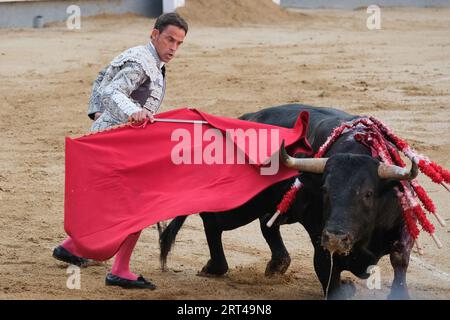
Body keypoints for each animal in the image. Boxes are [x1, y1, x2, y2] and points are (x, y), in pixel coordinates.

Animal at [160, 105, 416, 300]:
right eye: (325, 190)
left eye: (368, 194)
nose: (335, 238)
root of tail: (243, 119)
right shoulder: (319, 240)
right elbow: (327, 272)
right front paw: (344, 287)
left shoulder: (403, 221)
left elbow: (399, 256)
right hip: (240, 207)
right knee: (212, 220)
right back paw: (215, 267)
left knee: (266, 223)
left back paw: (277, 263)